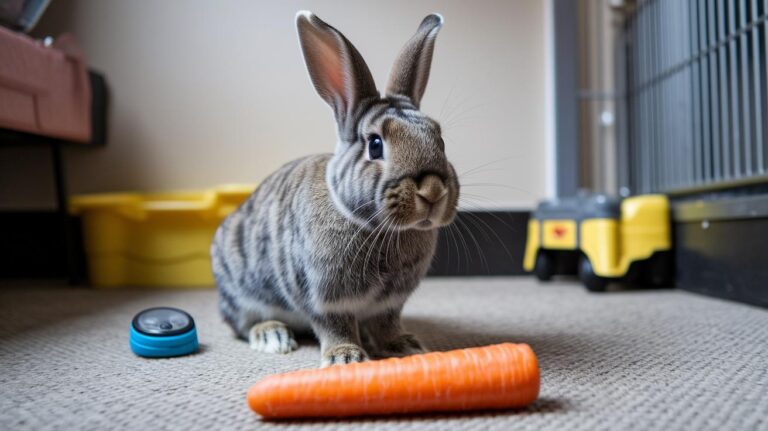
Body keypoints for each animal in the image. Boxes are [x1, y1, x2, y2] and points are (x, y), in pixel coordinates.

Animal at [211, 11, 459, 367]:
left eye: (439, 138)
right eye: (375, 145)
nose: (434, 191)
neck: (373, 225)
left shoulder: (389, 304)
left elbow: (386, 324)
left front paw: (404, 346)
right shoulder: (323, 298)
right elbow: (334, 325)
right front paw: (346, 358)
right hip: (243, 292)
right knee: (243, 324)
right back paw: (272, 337)